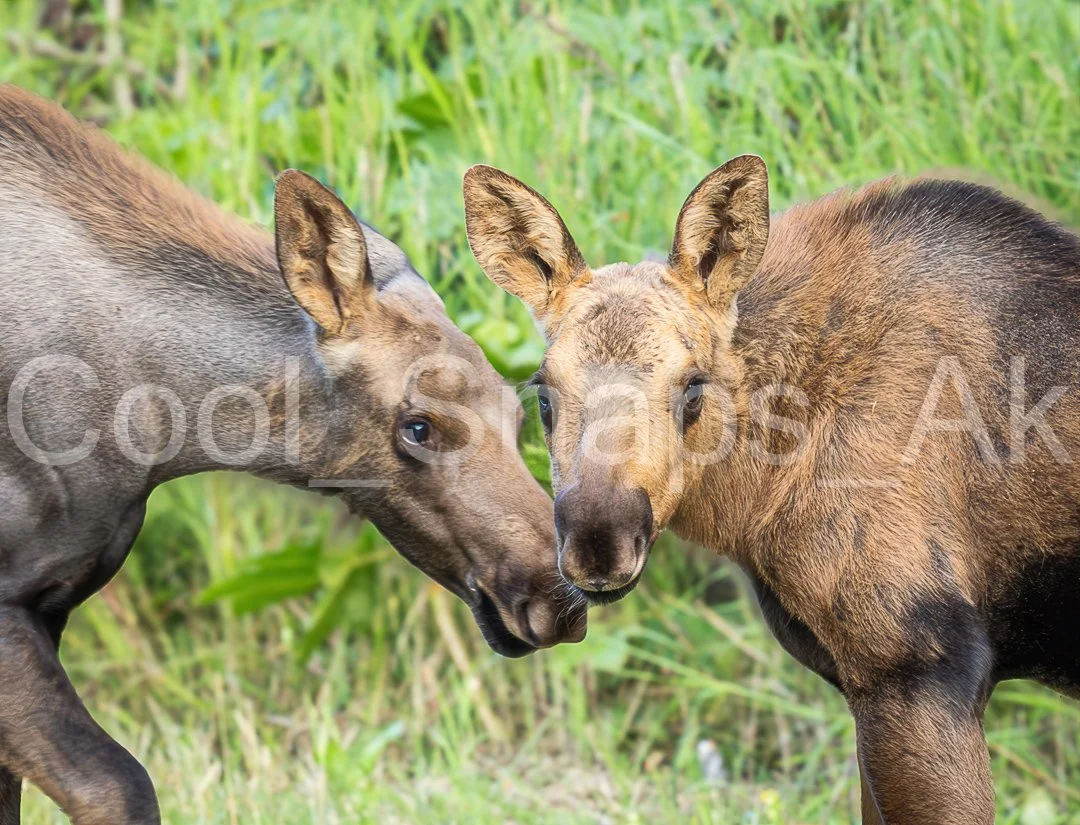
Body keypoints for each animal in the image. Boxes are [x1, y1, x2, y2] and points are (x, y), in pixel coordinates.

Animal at [0, 85, 585, 825]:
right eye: (418, 426)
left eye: (517, 413)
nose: (561, 600)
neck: (149, 428)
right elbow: (117, 783)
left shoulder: (51, 604)